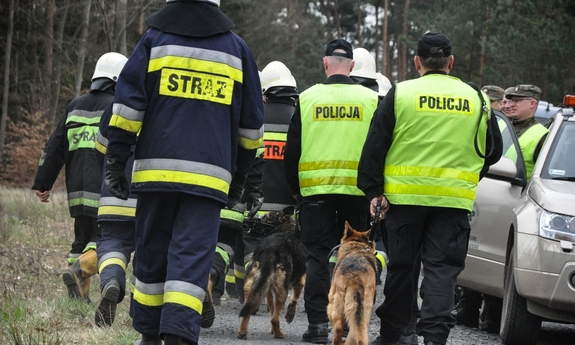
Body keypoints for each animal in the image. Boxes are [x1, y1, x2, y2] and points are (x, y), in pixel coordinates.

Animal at [236, 204, 306, 338]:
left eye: (265, 217)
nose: (248, 221)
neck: (284, 227)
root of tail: (270, 250)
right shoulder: (300, 280)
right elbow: (294, 299)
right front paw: (290, 315)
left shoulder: (268, 291)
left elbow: (271, 310)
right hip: (282, 291)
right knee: (274, 318)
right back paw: (279, 334)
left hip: (252, 286)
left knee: (248, 310)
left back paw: (242, 332)